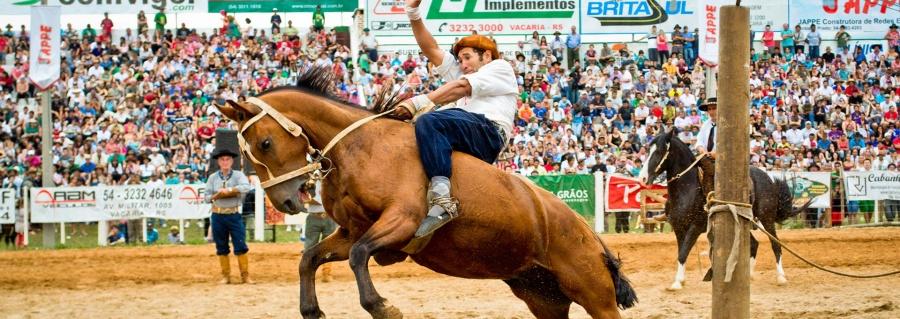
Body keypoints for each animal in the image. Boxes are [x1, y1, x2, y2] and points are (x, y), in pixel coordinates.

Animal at [214, 69, 636, 318]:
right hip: (542, 296)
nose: (284, 202)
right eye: (245, 153)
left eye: (265, 143)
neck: (361, 146)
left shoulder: (400, 221)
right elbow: (309, 259)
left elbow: (359, 256)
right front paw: (312, 309)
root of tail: (587, 233)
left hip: (595, 295)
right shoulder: (350, 231)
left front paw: (381, 306)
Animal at [636, 129, 812, 292]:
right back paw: (749, 275)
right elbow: (681, 253)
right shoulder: (679, 228)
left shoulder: (694, 227)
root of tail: (767, 178)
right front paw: (681, 279)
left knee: (775, 244)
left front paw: (677, 283)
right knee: (754, 244)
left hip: (766, 219)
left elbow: (683, 252)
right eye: (648, 150)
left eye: (659, 151)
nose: (642, 178)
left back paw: (781, 277)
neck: (688, 189)